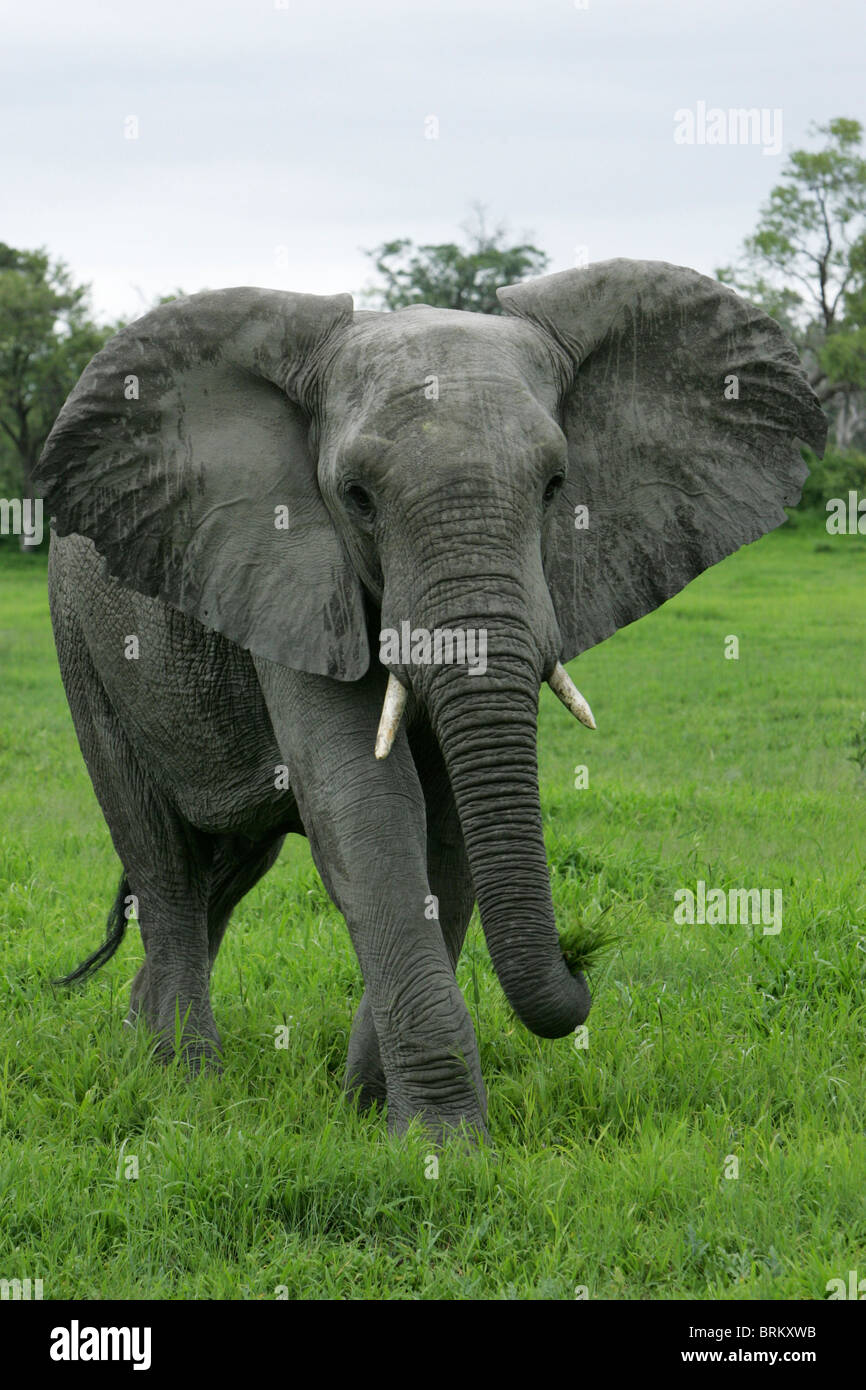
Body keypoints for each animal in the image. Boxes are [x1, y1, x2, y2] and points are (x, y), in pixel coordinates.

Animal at [35, 261, 828, 1139]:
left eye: (556, 486)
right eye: (357, 497)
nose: (584, 955)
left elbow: (447, 829)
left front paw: (374, 1111)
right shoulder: (293, 566)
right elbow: (369, 808)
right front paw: (441, 1140)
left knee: (227, 868)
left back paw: (150, 1052)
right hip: (83, 643)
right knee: (163, 860)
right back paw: (186, 1087)